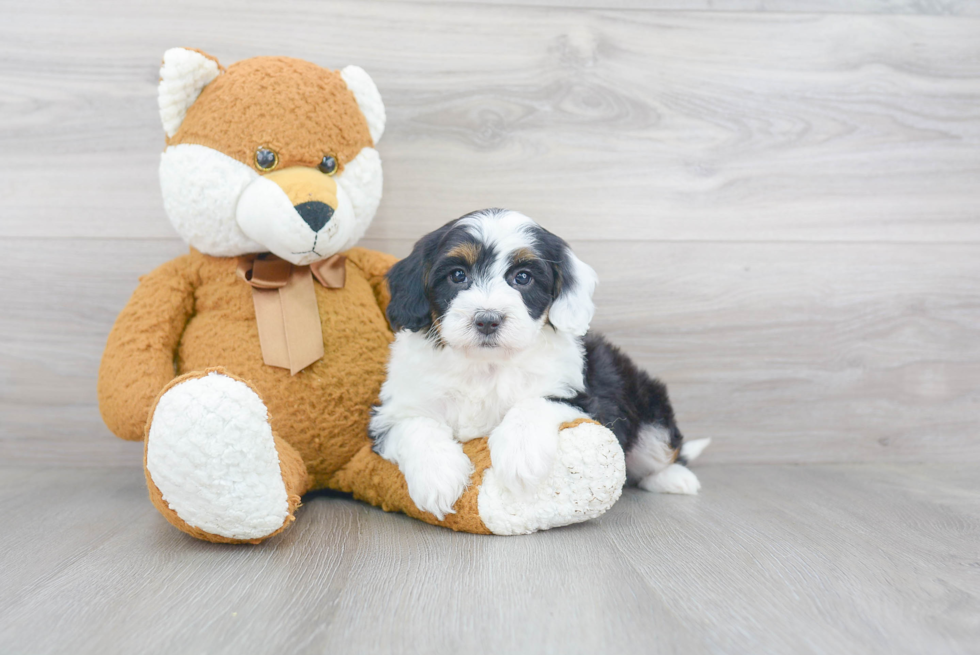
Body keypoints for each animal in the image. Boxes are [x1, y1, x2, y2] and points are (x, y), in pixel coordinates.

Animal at [368, 209, 704, 516]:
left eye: (523, 278)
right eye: (457, 275)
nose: (487, 319)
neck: (485, 365)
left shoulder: (586, 399)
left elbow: (535, 403)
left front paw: (520, 456)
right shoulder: (391, 411)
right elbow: (415, 424)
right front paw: (438, 478)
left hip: (647, 408)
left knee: (660, 450)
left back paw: (676, 478)